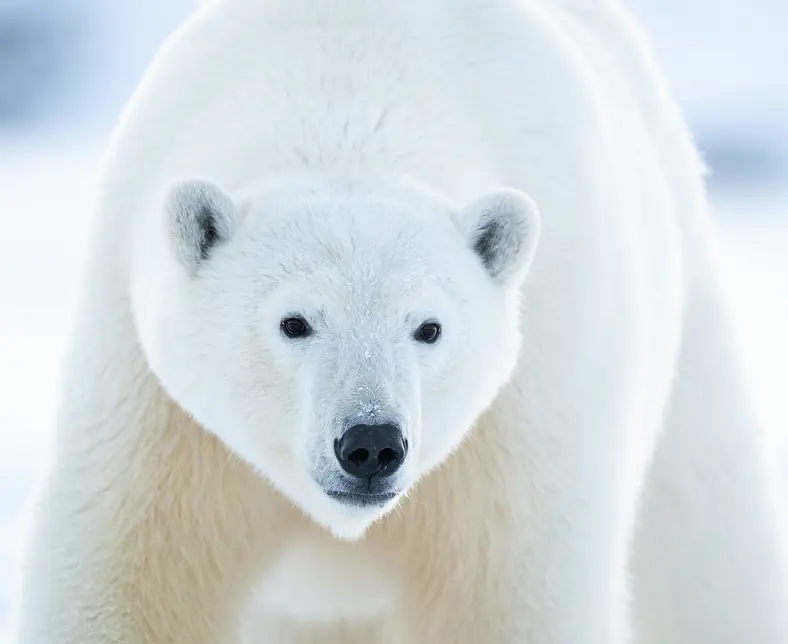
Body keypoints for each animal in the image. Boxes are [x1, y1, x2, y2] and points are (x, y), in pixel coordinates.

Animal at [15, 1, 788, 644]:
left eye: (429, 328)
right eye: (294, 322)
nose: (371, 444)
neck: (352, 91)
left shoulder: (525, 415)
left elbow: (508, 596)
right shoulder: (158, 418)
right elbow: (127, 577)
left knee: (708, 540)